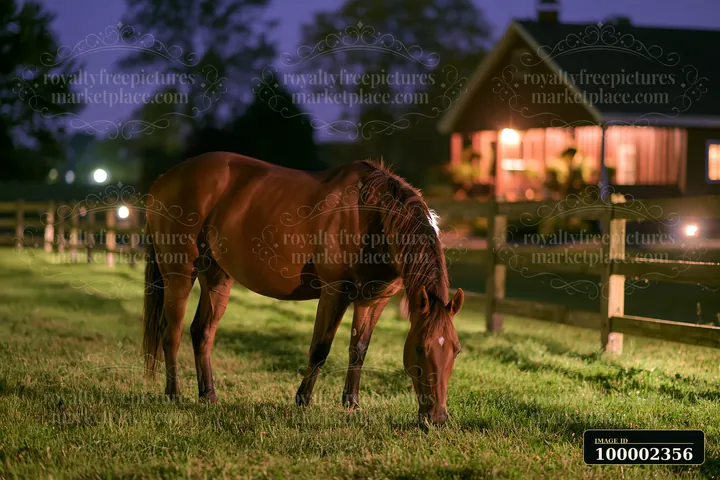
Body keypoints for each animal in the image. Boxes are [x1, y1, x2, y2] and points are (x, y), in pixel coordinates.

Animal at [142, 152, 464, 425]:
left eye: (456, 350)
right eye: (420, 348)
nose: (437, 418)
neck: (371, 215)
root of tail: (164, 179)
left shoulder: (374, 300)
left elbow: (359, 349)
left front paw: (351, 403)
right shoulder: (335, 292)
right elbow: (320, 347)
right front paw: (303, 399)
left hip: (217, 276)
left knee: (202, 331)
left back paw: (208, 395)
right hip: (179, 273)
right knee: (171, 331)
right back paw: (173, 395)